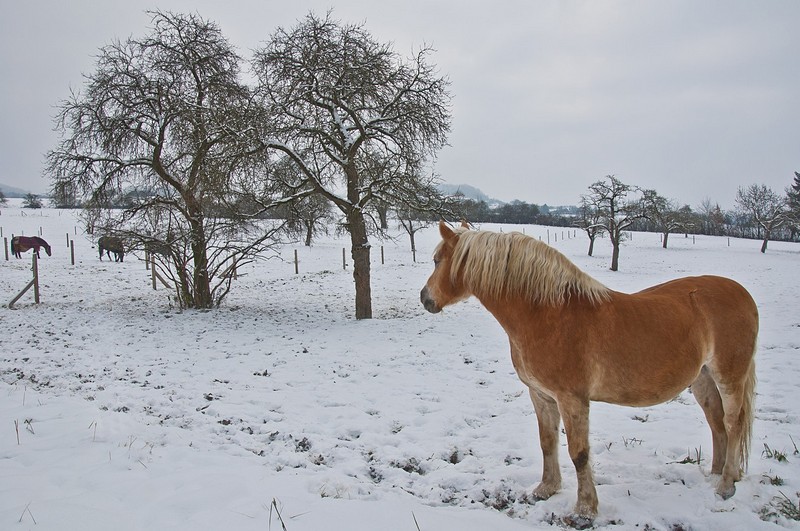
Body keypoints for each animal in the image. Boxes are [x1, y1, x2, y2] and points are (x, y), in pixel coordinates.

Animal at [422, 221, 760, 528]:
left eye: (437, 260)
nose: (426, 298)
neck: (548, 314)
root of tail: (743, 294)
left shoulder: (572, 399)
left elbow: (579, 453)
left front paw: (584, 511)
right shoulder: (541, 395)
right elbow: (547, 442)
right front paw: (546, 489)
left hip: (730, 376)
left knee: (733, 423)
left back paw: (726, 485)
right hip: (702, 378)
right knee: (717, 422)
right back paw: (716, 474)